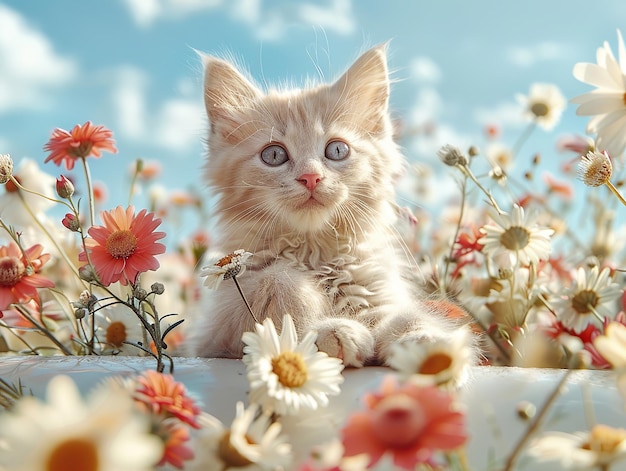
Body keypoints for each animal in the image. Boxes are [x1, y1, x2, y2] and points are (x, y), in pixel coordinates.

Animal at [189, 44, 472, 368]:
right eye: (273, 155)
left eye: (337, 150)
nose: (311, 177)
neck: (315, 254)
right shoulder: (219, 328)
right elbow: (278, 284)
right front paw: (328, 330)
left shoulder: (380, 296)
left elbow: (404, 316)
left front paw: (426, 343)